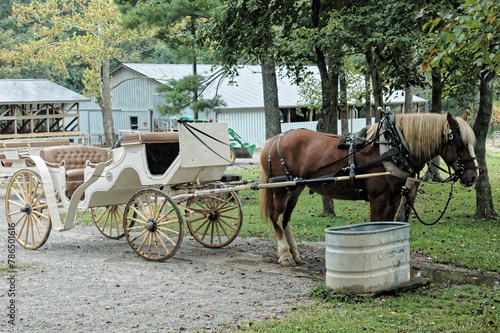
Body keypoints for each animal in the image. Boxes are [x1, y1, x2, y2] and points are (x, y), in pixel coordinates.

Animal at [260, 111, 478, 264]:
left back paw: (295, 254)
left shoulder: (395, 197)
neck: (393, 147)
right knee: (277, 217)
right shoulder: (378, 197)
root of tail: (273, 140)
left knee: (286, 219)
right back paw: (285, 254)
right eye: (458, 141)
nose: (473, 176)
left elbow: (388, 225)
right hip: (281, 187)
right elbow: (375, 225)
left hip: (295, 188)